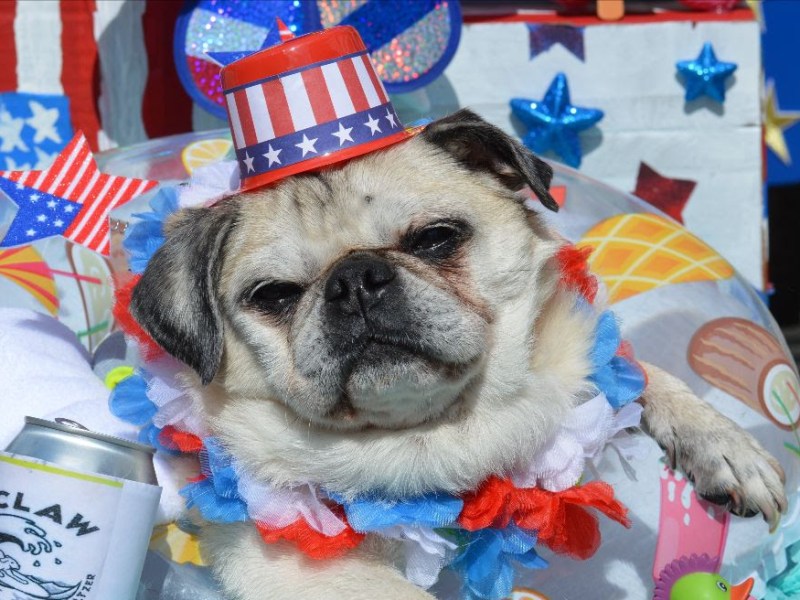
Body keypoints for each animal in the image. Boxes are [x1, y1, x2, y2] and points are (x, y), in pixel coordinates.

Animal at [131, 110, 788, 596]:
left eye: (436, 239)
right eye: (274, 295)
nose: (353, 280)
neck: (436, 432)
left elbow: (644, 374)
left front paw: (722, 445)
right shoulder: (299, 566)